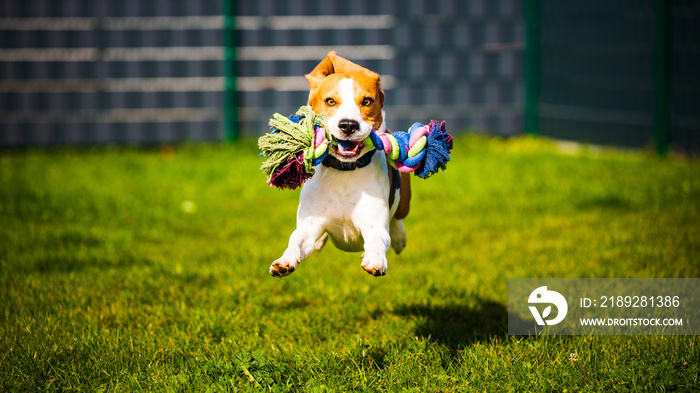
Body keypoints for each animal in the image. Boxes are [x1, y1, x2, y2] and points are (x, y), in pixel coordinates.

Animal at [268, 52, 410, 278]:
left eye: (367, 101)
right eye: (330, 101)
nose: (349, 125)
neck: (344, 170)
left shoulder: (374, 223)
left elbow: (378, 240)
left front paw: (375, 260)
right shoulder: (309, 224)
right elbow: (296, 241)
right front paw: (284, 261)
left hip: (404, 200)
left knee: (398, 219)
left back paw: (399, 238)